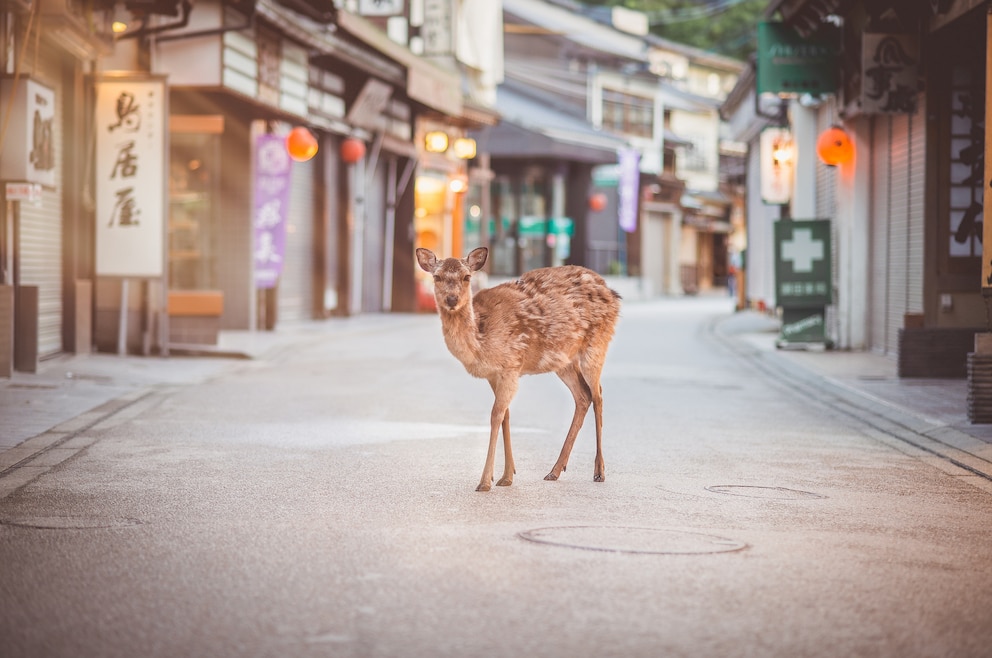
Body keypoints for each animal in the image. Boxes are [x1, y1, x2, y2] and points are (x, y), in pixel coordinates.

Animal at [416, 247, 620, 492]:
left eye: (467, 277)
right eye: (436, 277)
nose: (452, 299)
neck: (482, 340)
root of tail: (612, 294)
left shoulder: (511, 366)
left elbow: (495, 415)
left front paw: (485, 481)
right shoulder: (494, 375)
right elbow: (505, 415)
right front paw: (507, 476)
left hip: (597, 343)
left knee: (598, 395)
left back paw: (599, 471)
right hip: (564, 361)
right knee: (583, 396)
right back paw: (554, 470)